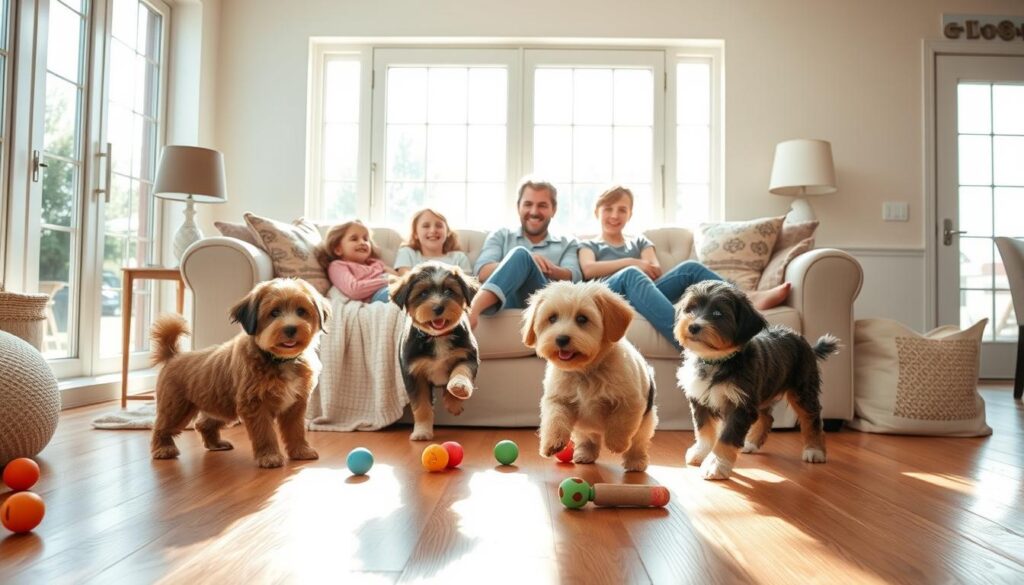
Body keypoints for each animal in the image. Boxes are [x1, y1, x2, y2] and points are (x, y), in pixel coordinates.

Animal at [148, 280, 329, 471]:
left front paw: (301, 451)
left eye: (301, 311)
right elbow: (265, 433)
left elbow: (296, 430)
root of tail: (174, 356)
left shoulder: (295, 405)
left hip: (221, 407)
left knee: (203, 424)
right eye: (274, 313)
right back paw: (163, 449)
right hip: (176, 408)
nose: (291, 328)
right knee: (161, 427)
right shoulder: (255, 405)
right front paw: (269, 456)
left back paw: (216, 444)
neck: (279, 359)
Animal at [389, 261, 481, 438]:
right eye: (423, 293)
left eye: (449, 291)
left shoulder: (468, 355)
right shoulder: (414, 373)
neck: (438, 337)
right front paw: (422, 431)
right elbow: (421, 406)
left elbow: (461, 370)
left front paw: (457, 391)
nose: (438, 307)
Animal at [524, 280, 659, 471]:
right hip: (584, 427)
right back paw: (585, 453)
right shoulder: (558, 399)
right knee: (588, 438)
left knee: (637, 442)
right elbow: (554, 419)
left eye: (582, 319)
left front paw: (616, 443)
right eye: (552, 318)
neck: (585, 371)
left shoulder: (630, 401)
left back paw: (635, 460)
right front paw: (552, 443)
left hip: (645, 422)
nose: (561, 339)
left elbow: (620, 421)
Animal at [671, 280, 839, 481]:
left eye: (718, 314)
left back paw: (815, 451)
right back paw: (751, 443)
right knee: (767, 417)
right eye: (690, 309)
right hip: (762, 391)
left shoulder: (740, 404)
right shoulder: (700, 398)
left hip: (802, 388)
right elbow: (703, 429)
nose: (693, 326)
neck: (717, 360)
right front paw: (700, 452)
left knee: (811, 417)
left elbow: (727, 437)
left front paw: (716, 464)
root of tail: (804, 341)